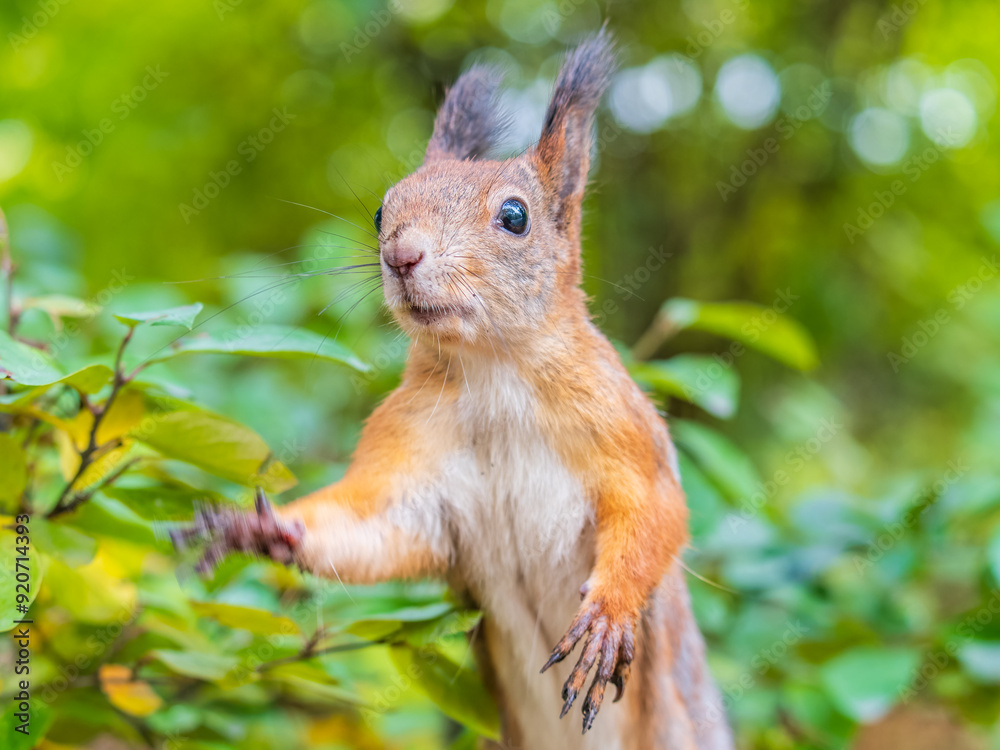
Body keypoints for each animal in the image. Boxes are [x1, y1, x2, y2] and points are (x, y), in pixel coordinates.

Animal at [174, 29, 734, 749]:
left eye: (515, 217)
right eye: (382, 209)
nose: (400, 255)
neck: (492, 373)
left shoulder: (624, 427)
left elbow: (655, 511)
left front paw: (609, 614)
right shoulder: (414, 461)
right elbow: (372, 525)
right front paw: (262, 528)